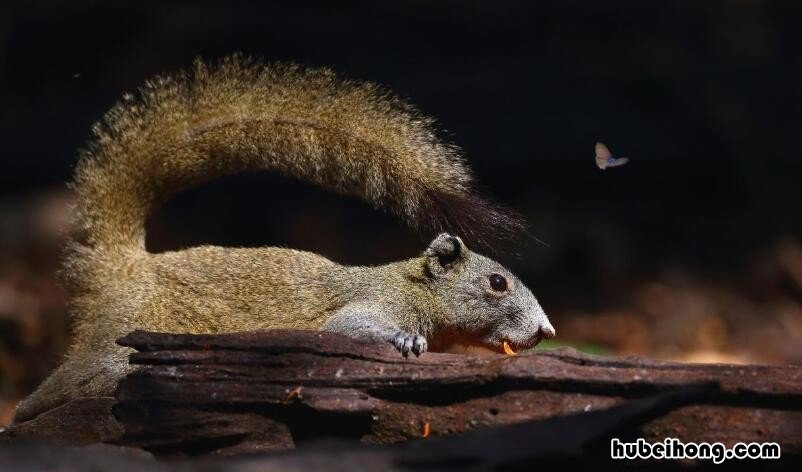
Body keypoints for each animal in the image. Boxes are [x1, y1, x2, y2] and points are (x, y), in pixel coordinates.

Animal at [17, 57, 556, 422]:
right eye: (497, 283)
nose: (547, 330)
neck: (411, 284)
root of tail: (124, 266)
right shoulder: (371, 305)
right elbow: (349, 328)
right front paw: (404, 340)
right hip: (117, 341)